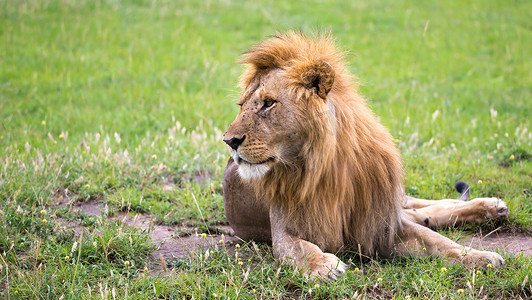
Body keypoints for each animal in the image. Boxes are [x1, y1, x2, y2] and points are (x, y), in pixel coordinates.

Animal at [220, 32, 508, 278]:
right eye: (242, 105)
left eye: (268, 103)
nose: (229, 141)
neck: (326, 167)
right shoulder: (283, 229)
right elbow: (300, 247)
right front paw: (324, 265)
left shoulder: (382, 222)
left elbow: (439, 242)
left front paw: (479, 257)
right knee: (423, 212)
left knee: (426, 207)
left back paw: (491, 206)